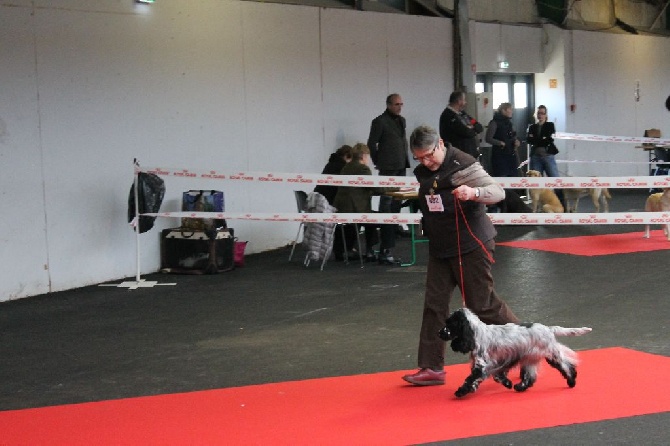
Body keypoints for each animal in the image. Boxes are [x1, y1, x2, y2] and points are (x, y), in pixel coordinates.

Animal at [440, 308, 592, 398]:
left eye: (450, 323)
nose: (439, 332)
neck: (476, 333)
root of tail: (548, 328)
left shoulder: (482, 364)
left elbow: (471, 378)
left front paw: (461, 391)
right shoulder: (494, 364)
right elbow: (495, 376)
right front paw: (507, 383)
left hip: (550, 353)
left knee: (567, 366)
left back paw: (571, 381)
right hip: (530, 358)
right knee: (530, 377)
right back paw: (519, 387)